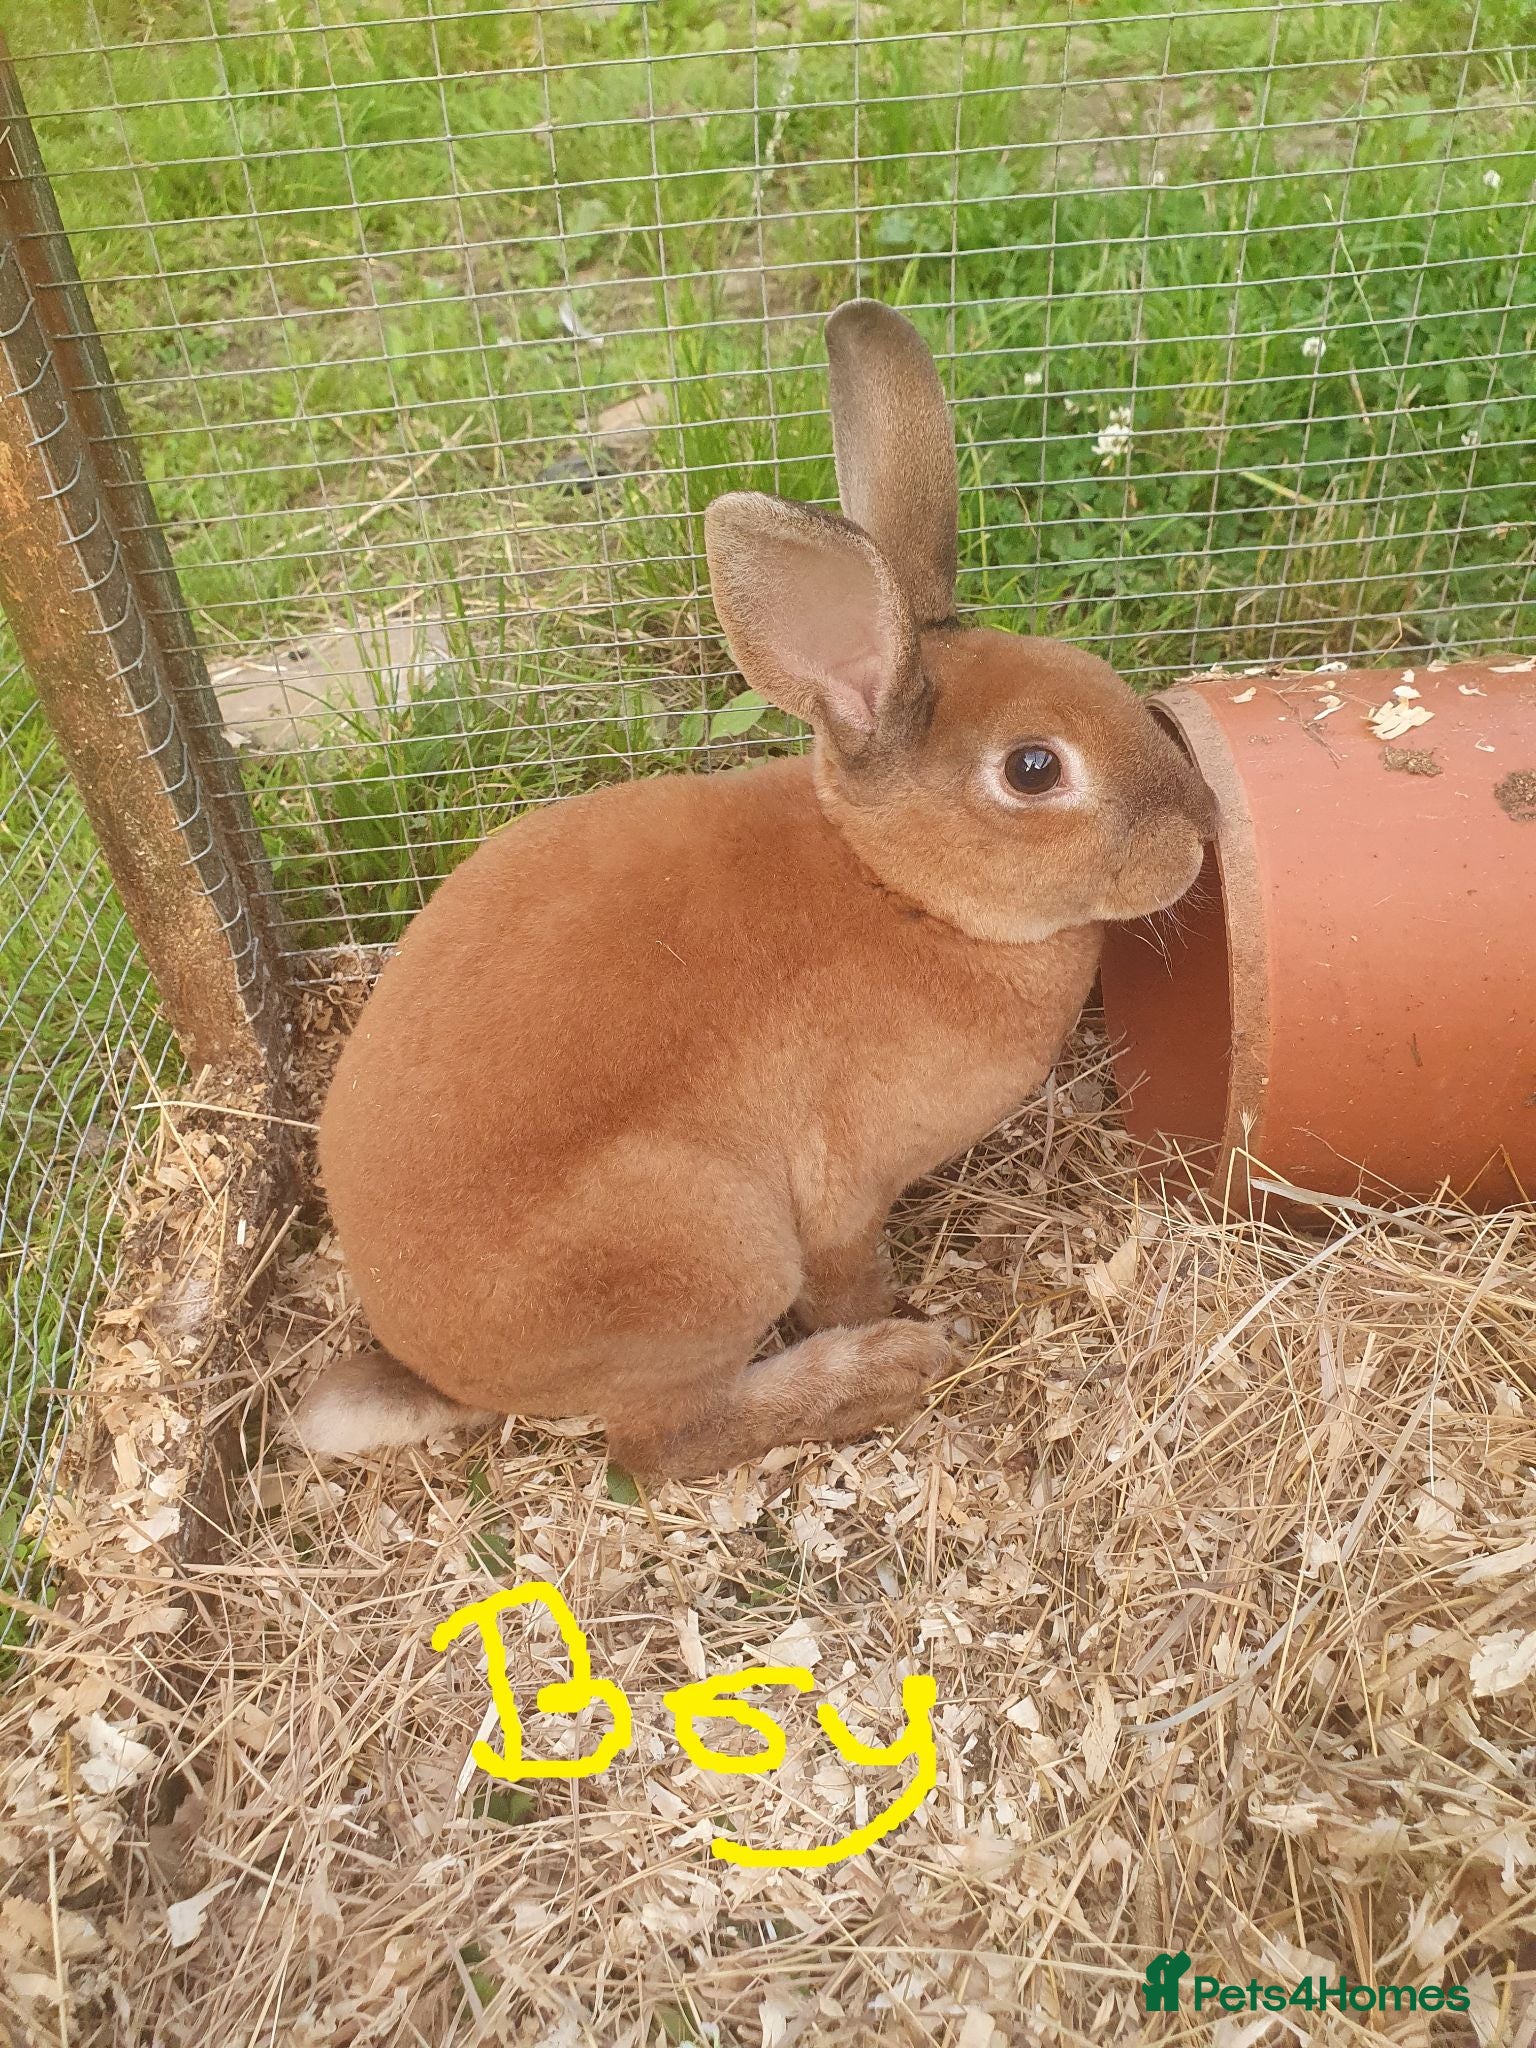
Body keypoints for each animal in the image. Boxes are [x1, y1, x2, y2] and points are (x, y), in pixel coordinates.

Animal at [292, 299, 1216, 1480]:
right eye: (1033, 769)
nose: (1198, 833)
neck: (897, 890)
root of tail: (436, 1364)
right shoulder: (839, 1192)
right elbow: (846, 1274)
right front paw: (903, 1320)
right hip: (706, 1248)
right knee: (658, 1445)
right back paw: (881, 1370)